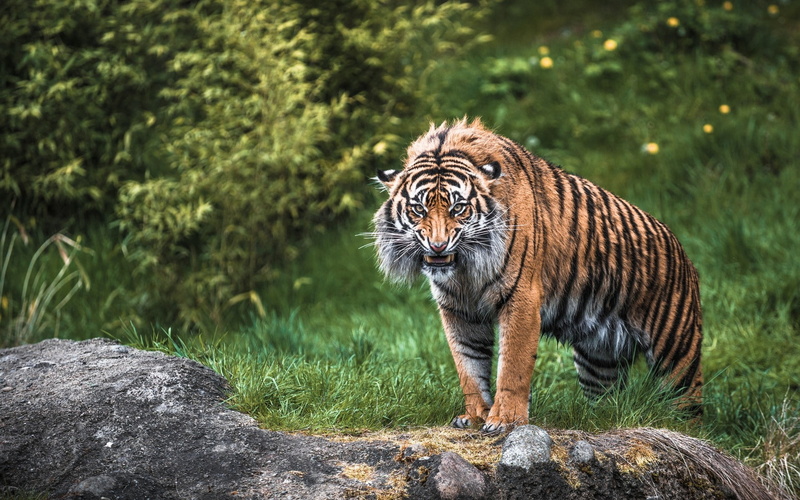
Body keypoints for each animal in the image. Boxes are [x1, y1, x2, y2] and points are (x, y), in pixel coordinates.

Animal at [370, 118, 703, 433]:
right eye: (418, 209)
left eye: (459, 208)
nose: (438, 246)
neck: (465, 269)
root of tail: (682, 251)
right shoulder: (458, 310)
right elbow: (469, 368)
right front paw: (475, 416)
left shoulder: (521, 298)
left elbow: (512, 366)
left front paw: (505, 420)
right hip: (599, 358)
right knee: (608, 398)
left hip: (676, 350)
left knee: (688, 403)